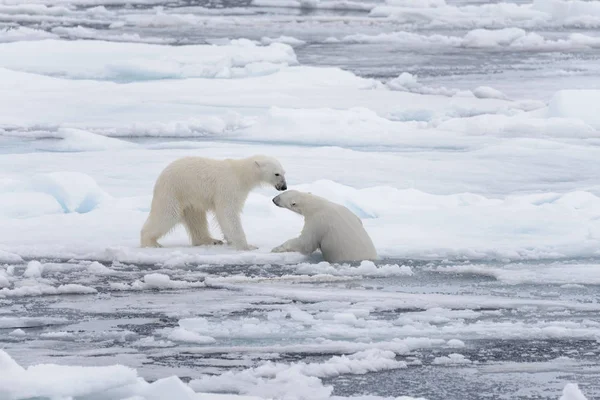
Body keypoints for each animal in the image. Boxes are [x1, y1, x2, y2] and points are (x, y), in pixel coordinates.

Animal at [143, 154, 288, 250]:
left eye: (284, 172)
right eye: (276, 174)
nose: (284, 187)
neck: (240, 173)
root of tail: (159, 179)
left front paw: (230, 240)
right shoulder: (228, 187)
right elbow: (228, 213)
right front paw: (247, 245)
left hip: (191, 198)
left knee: (196, 219)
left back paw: (211, 240)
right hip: (174, 191)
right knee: (168, 215)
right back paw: (151, 242)